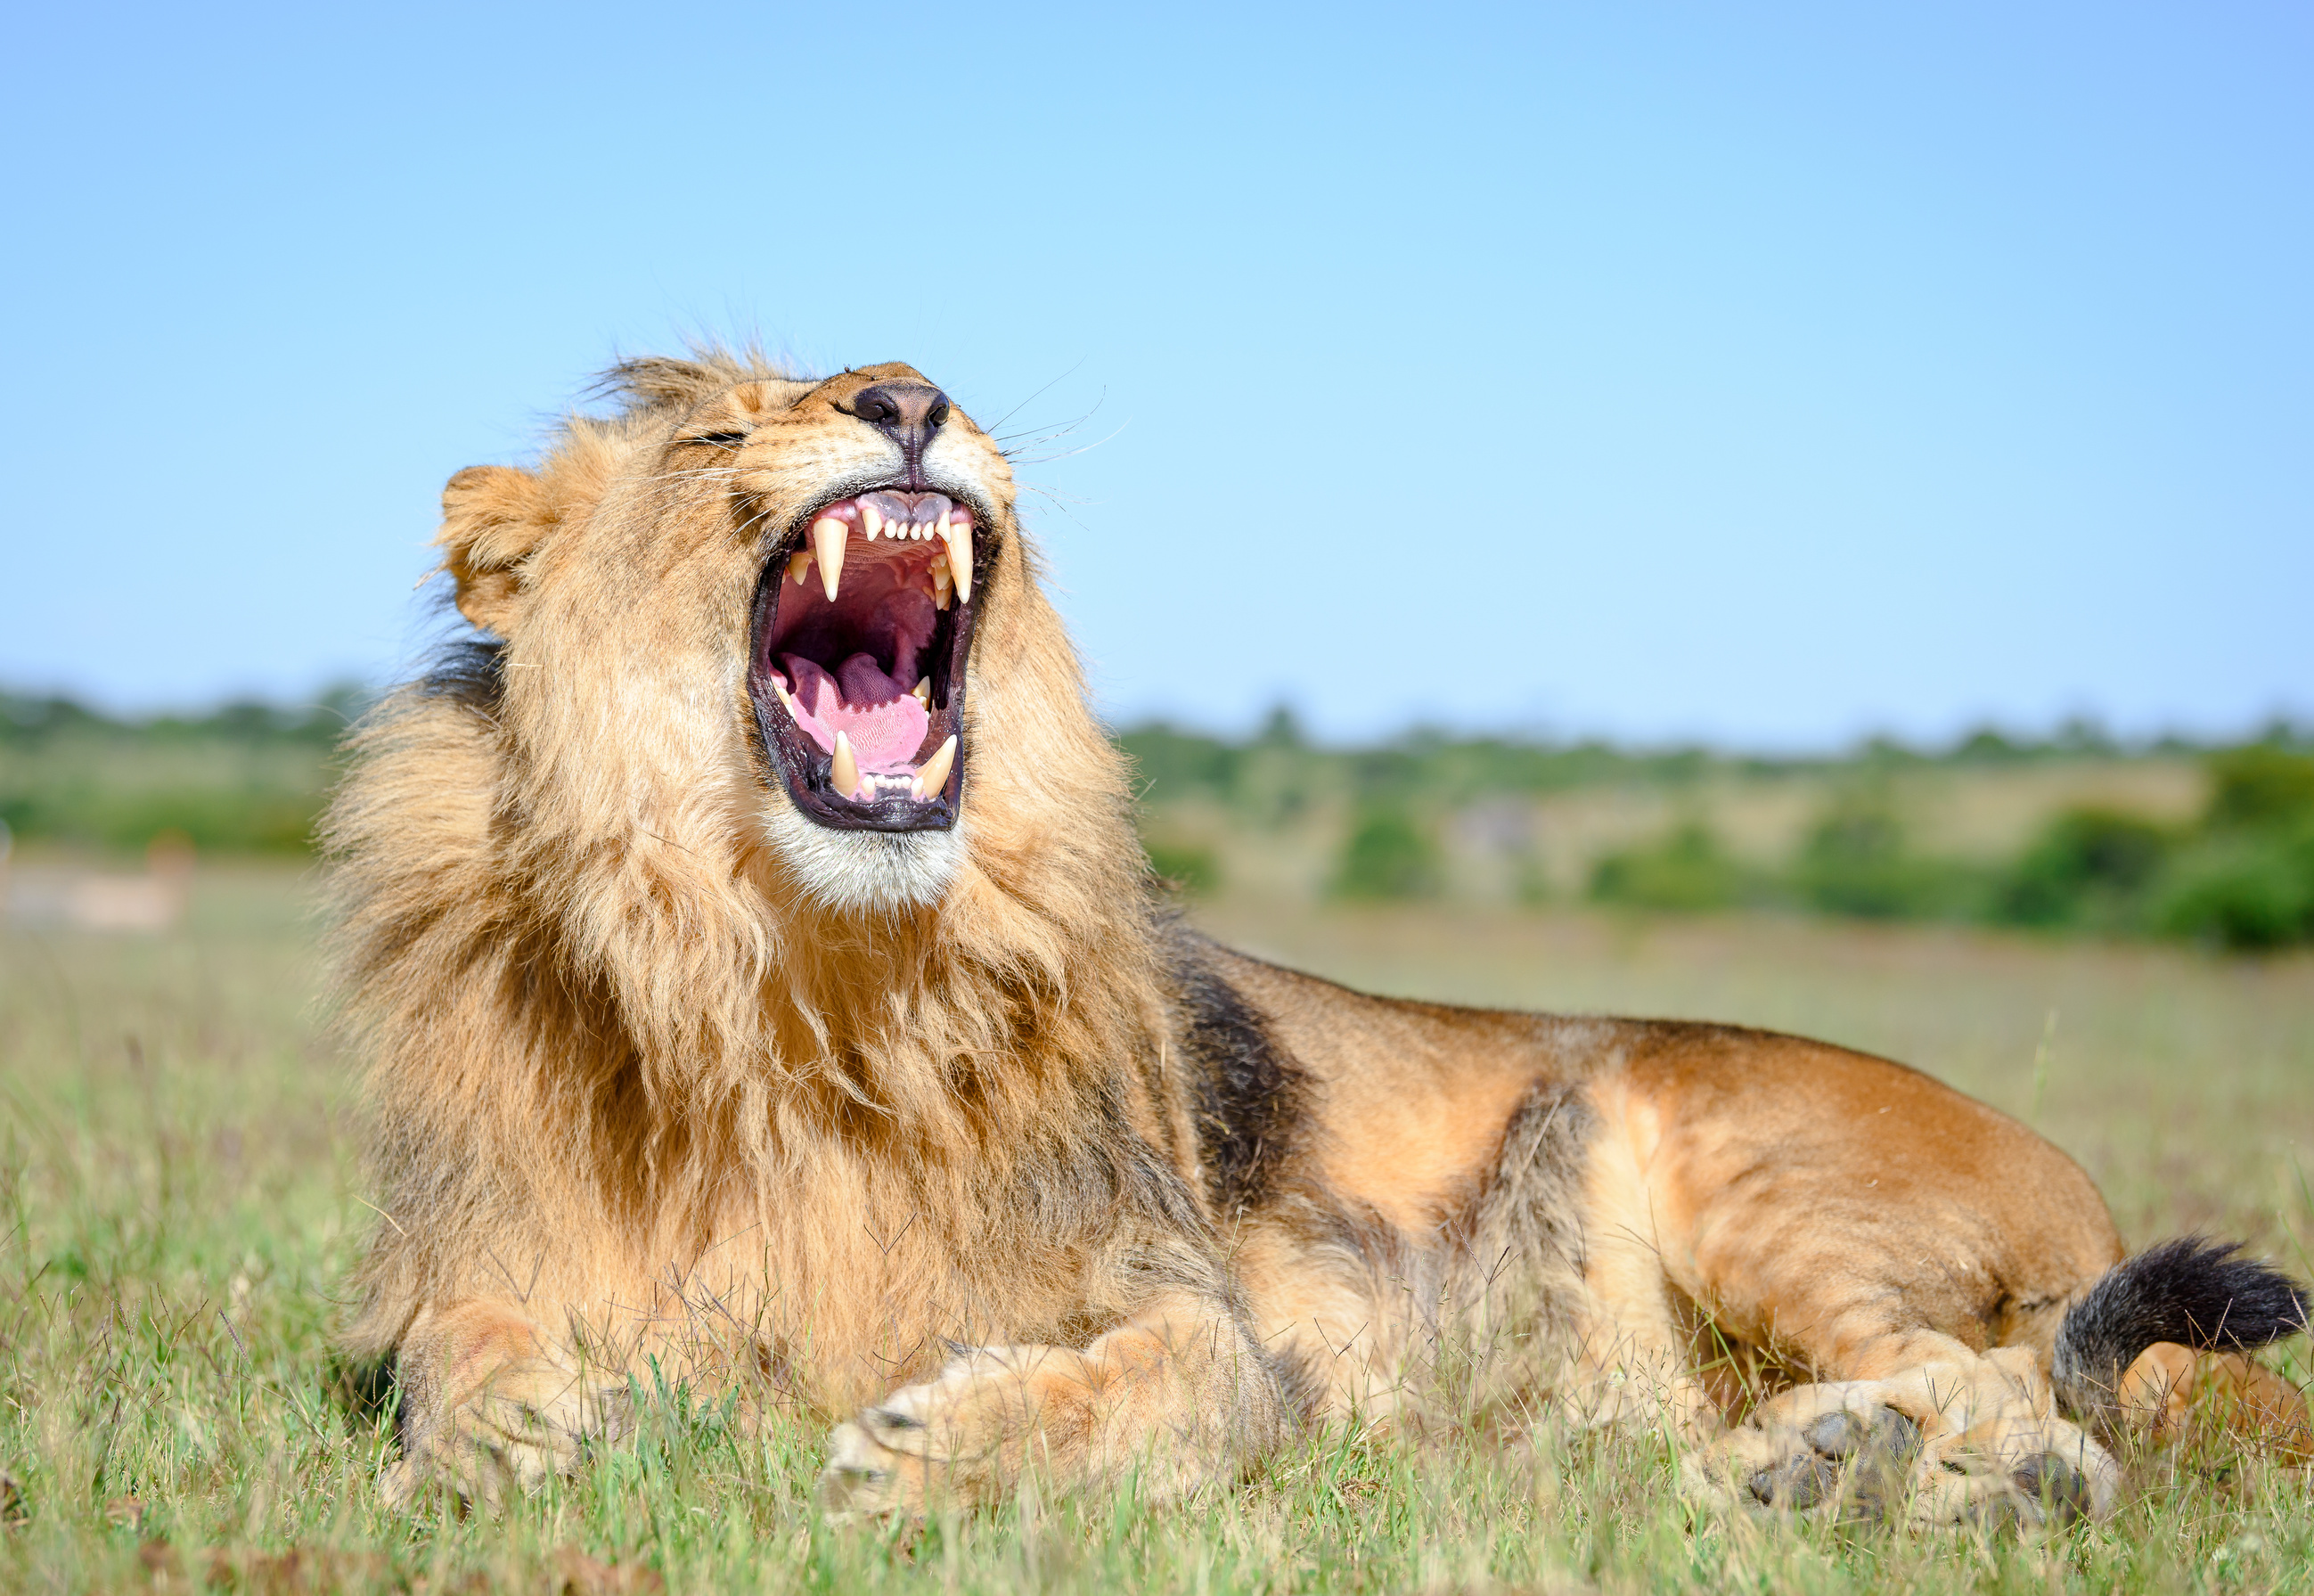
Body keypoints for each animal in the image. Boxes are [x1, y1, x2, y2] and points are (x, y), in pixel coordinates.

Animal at [329, 350, 2309, 1528]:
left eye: (889, 380)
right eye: (717, 434)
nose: (908, 395)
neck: (797, 985)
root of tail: (2080, 1196)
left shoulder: (1196, 1305)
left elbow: (1164, 1388)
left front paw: (934, 1452)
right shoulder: (476, 1240)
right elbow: (447, 1345)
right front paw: (505, 1435)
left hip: (1734, 1154)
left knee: (2036, 1397)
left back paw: (1856, 1462)